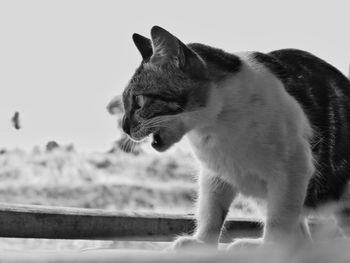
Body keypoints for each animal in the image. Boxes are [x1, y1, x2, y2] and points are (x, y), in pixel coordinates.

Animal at [107, 25, 350, 251]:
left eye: (138, 101)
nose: (124, 127)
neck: (217, 127)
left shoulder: (292, 170)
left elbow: (279, 221)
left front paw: (270, 248)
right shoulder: (215, 174)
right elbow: (211, 211)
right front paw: (202, 242)